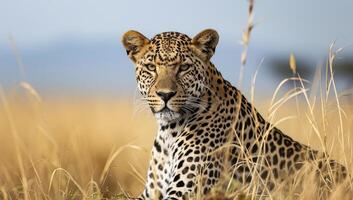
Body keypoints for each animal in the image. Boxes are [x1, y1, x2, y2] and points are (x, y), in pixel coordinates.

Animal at [121, 28, 346, 199]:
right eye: (151, 67)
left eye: (184, 67)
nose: (165, 94)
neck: (169, 131)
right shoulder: (150, 192)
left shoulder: (184, 191)